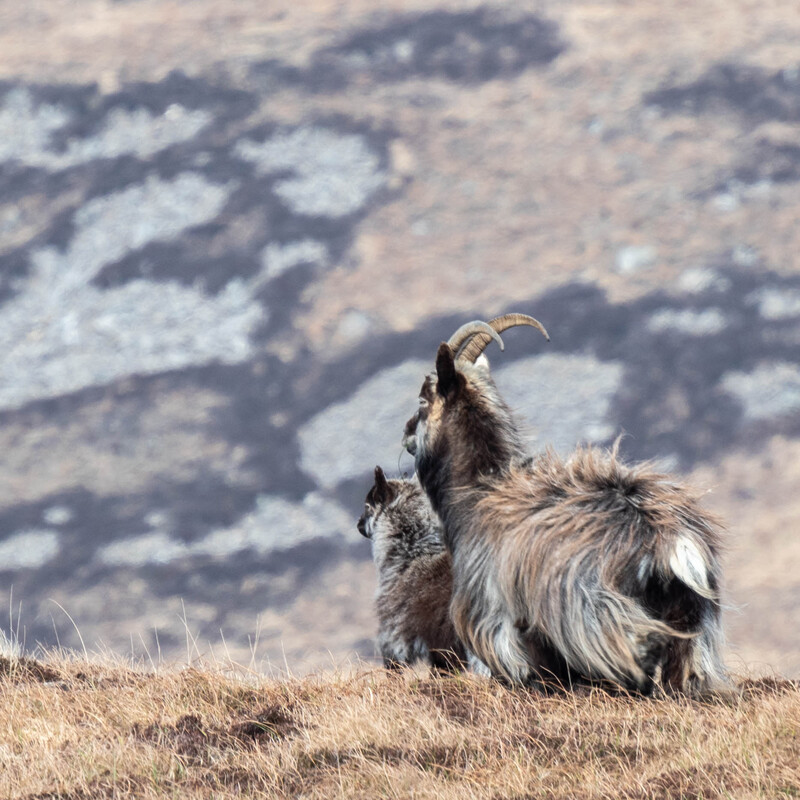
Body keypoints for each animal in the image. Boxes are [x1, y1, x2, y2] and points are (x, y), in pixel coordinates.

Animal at [402, 315, 728, 696]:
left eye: (423, 401)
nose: (406, 434)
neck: (480, 491)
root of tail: (670, 541)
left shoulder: (496, 616)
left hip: (598, 614)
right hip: (692, 622)